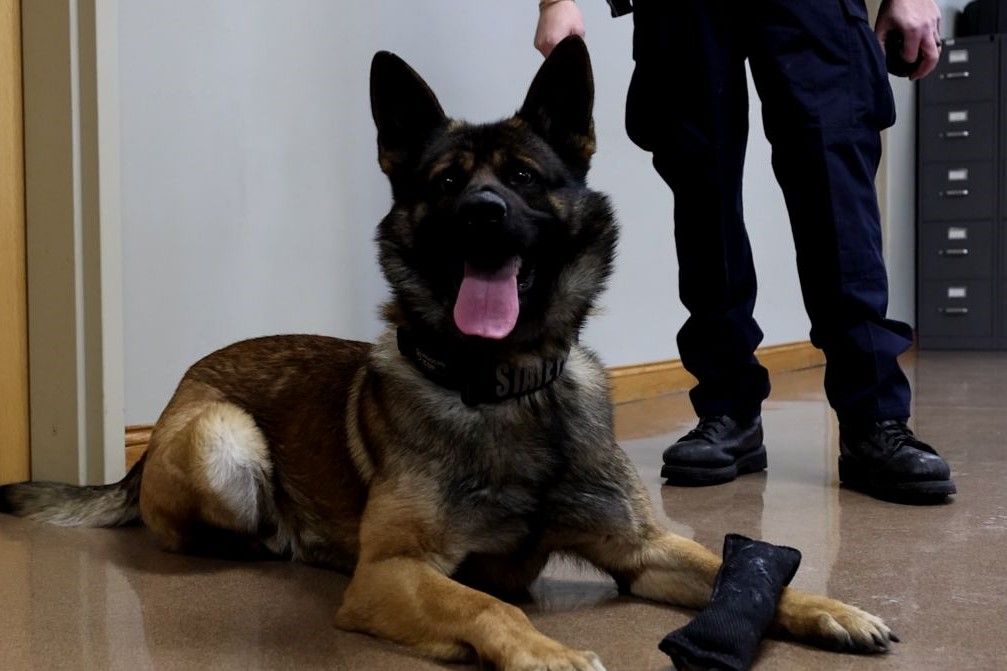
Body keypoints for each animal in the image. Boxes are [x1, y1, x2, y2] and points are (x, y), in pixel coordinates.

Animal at [3, 37, 894, 668]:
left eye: (526, 178)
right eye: (444, 182)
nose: (483, 214)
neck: (507, 386)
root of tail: (168, 405)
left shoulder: (640, 551)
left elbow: (733, 570)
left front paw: (827, 608)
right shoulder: (393, 569)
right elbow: (486, 603)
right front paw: (544, 649)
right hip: (224, 439)